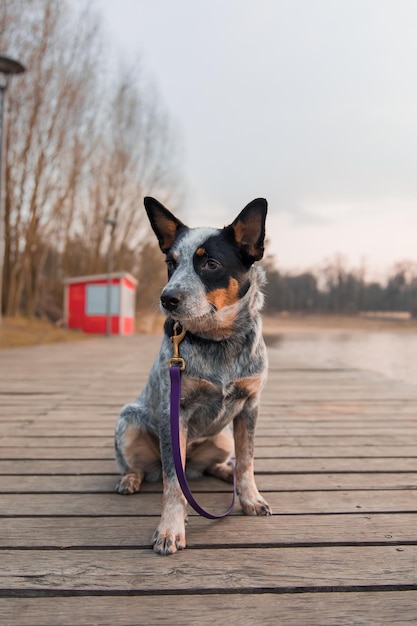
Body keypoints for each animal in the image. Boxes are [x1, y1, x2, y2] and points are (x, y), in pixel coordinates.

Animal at [114, 195, 272, 552]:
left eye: (210, 264)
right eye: (171, 263)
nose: (166, 298)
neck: (219, 341)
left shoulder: (250, 406)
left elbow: (248, 462)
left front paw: (250, 498)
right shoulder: (176, 411)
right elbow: (174, 484)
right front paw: (170, 529)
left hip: (223, 437)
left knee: (215, 465)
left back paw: (225, 472)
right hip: (128, 422)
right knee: (145, 468)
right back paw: (130, 478)